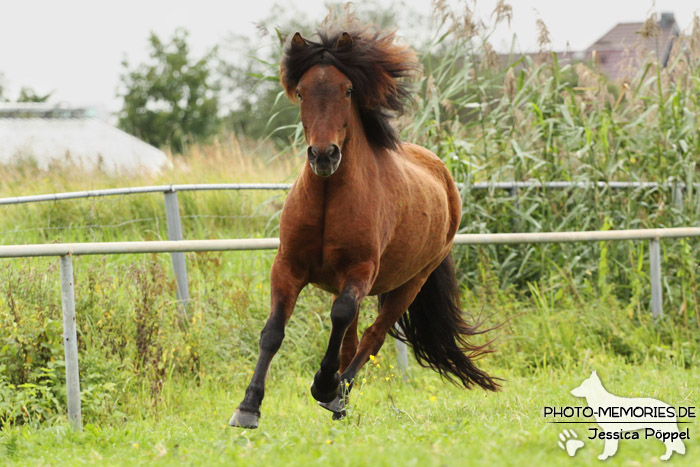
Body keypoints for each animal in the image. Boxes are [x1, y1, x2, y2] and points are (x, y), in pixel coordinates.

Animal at [230, 24, 498, 428]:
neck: (328, 199)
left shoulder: (360, 270)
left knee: (372, 337)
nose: (324, 155)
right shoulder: (288, 266)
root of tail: (444, 175)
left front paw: (324, 386)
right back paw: (338, 402)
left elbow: (341, 317)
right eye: (302, 91)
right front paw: (248, 407)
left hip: (411, 284)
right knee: (352, 340)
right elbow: (273, 331)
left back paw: (336, 393)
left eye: (348, 90)